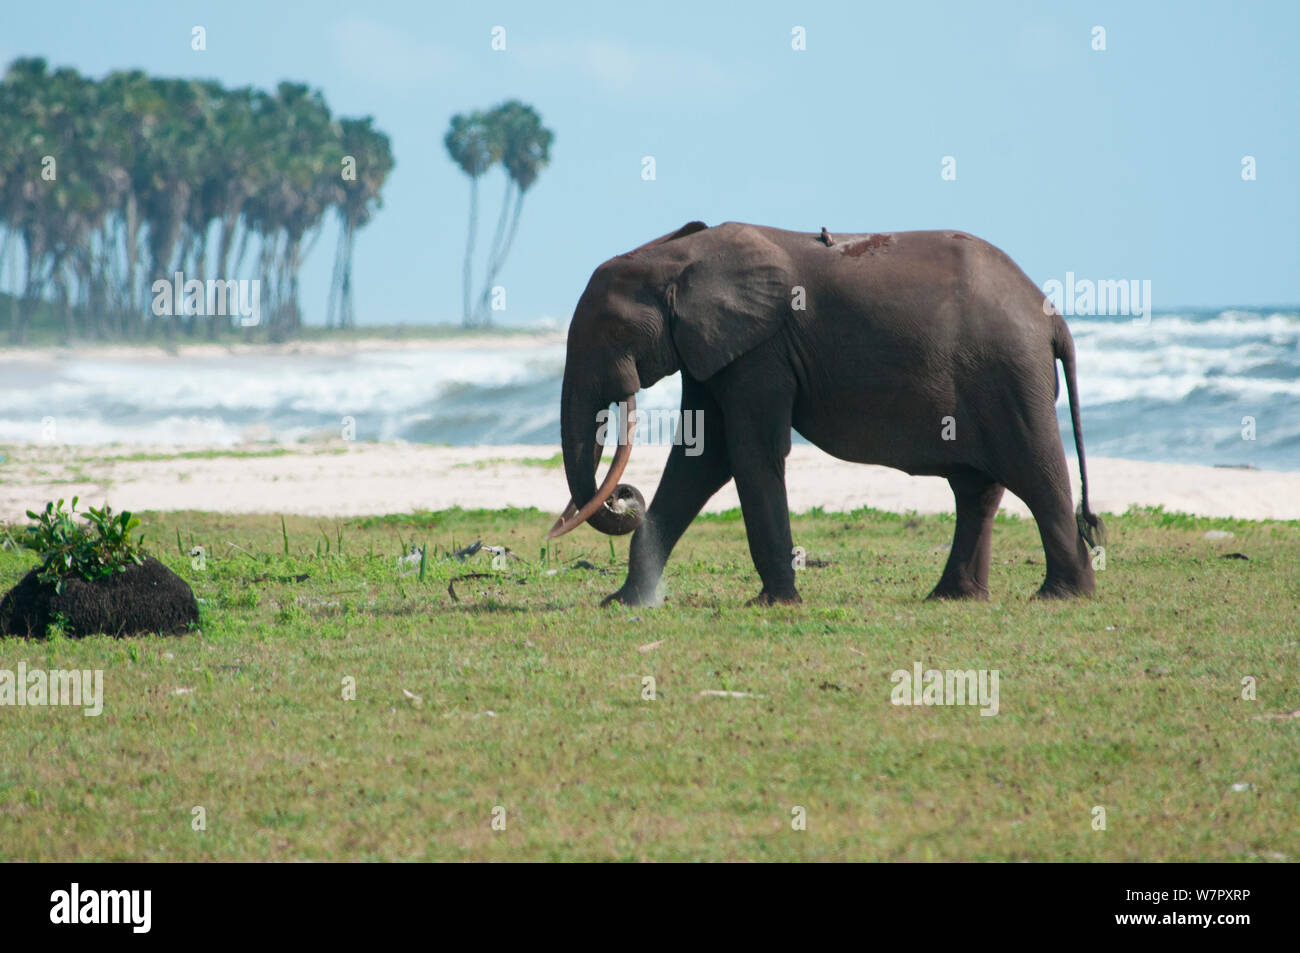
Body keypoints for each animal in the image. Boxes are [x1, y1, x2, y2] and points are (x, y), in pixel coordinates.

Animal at [548, 221, 1107, 603]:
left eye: (610, 331)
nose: (620, 494)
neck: (676, 254)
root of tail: (1052, 317)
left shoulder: (760, 350)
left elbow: (748, 455)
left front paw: (774, 603)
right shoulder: (715, 349)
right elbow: (700, 459)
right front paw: (623, 603)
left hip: (1009, 374)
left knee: (1034, 470)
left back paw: (1061, 595)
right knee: (977, 489)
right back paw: (953, 596)